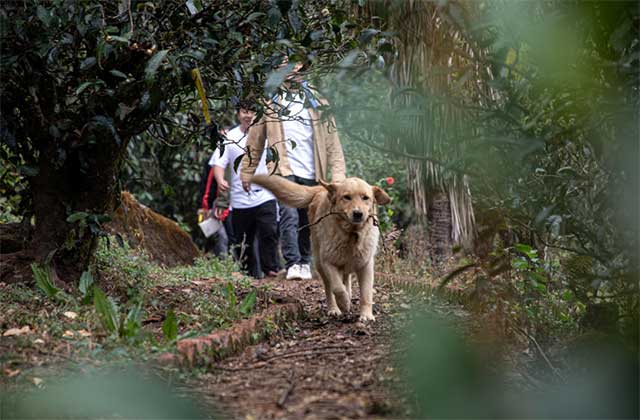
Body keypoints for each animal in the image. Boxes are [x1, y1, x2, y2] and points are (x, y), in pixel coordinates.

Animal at [250, 174, 390, 322]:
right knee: (330, 288)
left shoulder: (366, 265)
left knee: (346, 278)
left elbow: (366, 293)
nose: (358, 213)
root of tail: (321, 189)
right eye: (346, 197)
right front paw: (344, 303)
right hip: (319, 262)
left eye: (365, 198)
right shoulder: (328, 262)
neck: (351, 234)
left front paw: (366, 315)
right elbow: (337, 287)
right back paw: (334, 308)